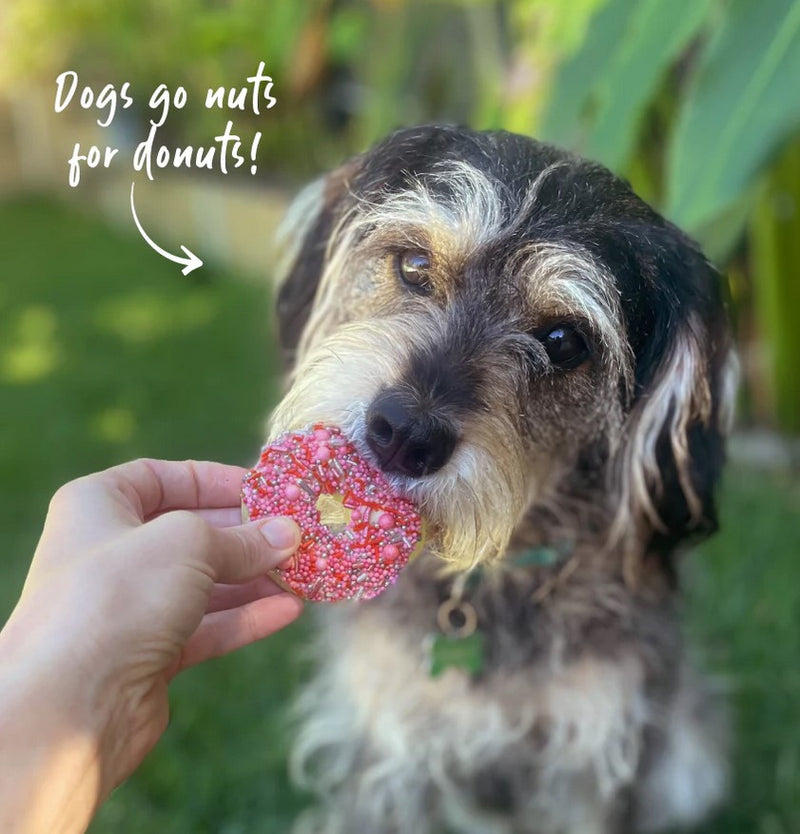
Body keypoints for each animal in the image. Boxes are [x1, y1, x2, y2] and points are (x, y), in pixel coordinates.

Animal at [268, 125, 736, 832]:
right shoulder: (388, 747)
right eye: (414, 266)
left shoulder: (591, 758)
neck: (492, 582)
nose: (404, 434)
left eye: (564, 341)